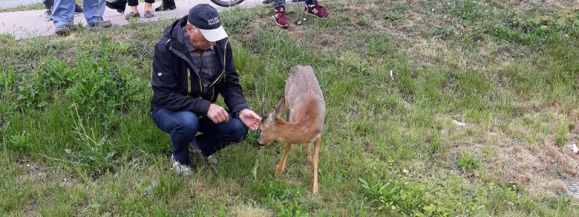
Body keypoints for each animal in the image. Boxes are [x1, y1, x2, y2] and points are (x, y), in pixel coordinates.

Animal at [258, 64, 326, 193]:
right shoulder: (292, 120)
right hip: (287, 102)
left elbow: (316, 160)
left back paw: (308, 157)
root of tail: (300, 66)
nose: (258, 142)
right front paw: (278, 171)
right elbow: (287, 147)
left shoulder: (319, 134)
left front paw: (315, 189)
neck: (308, 124)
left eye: (260, 129)